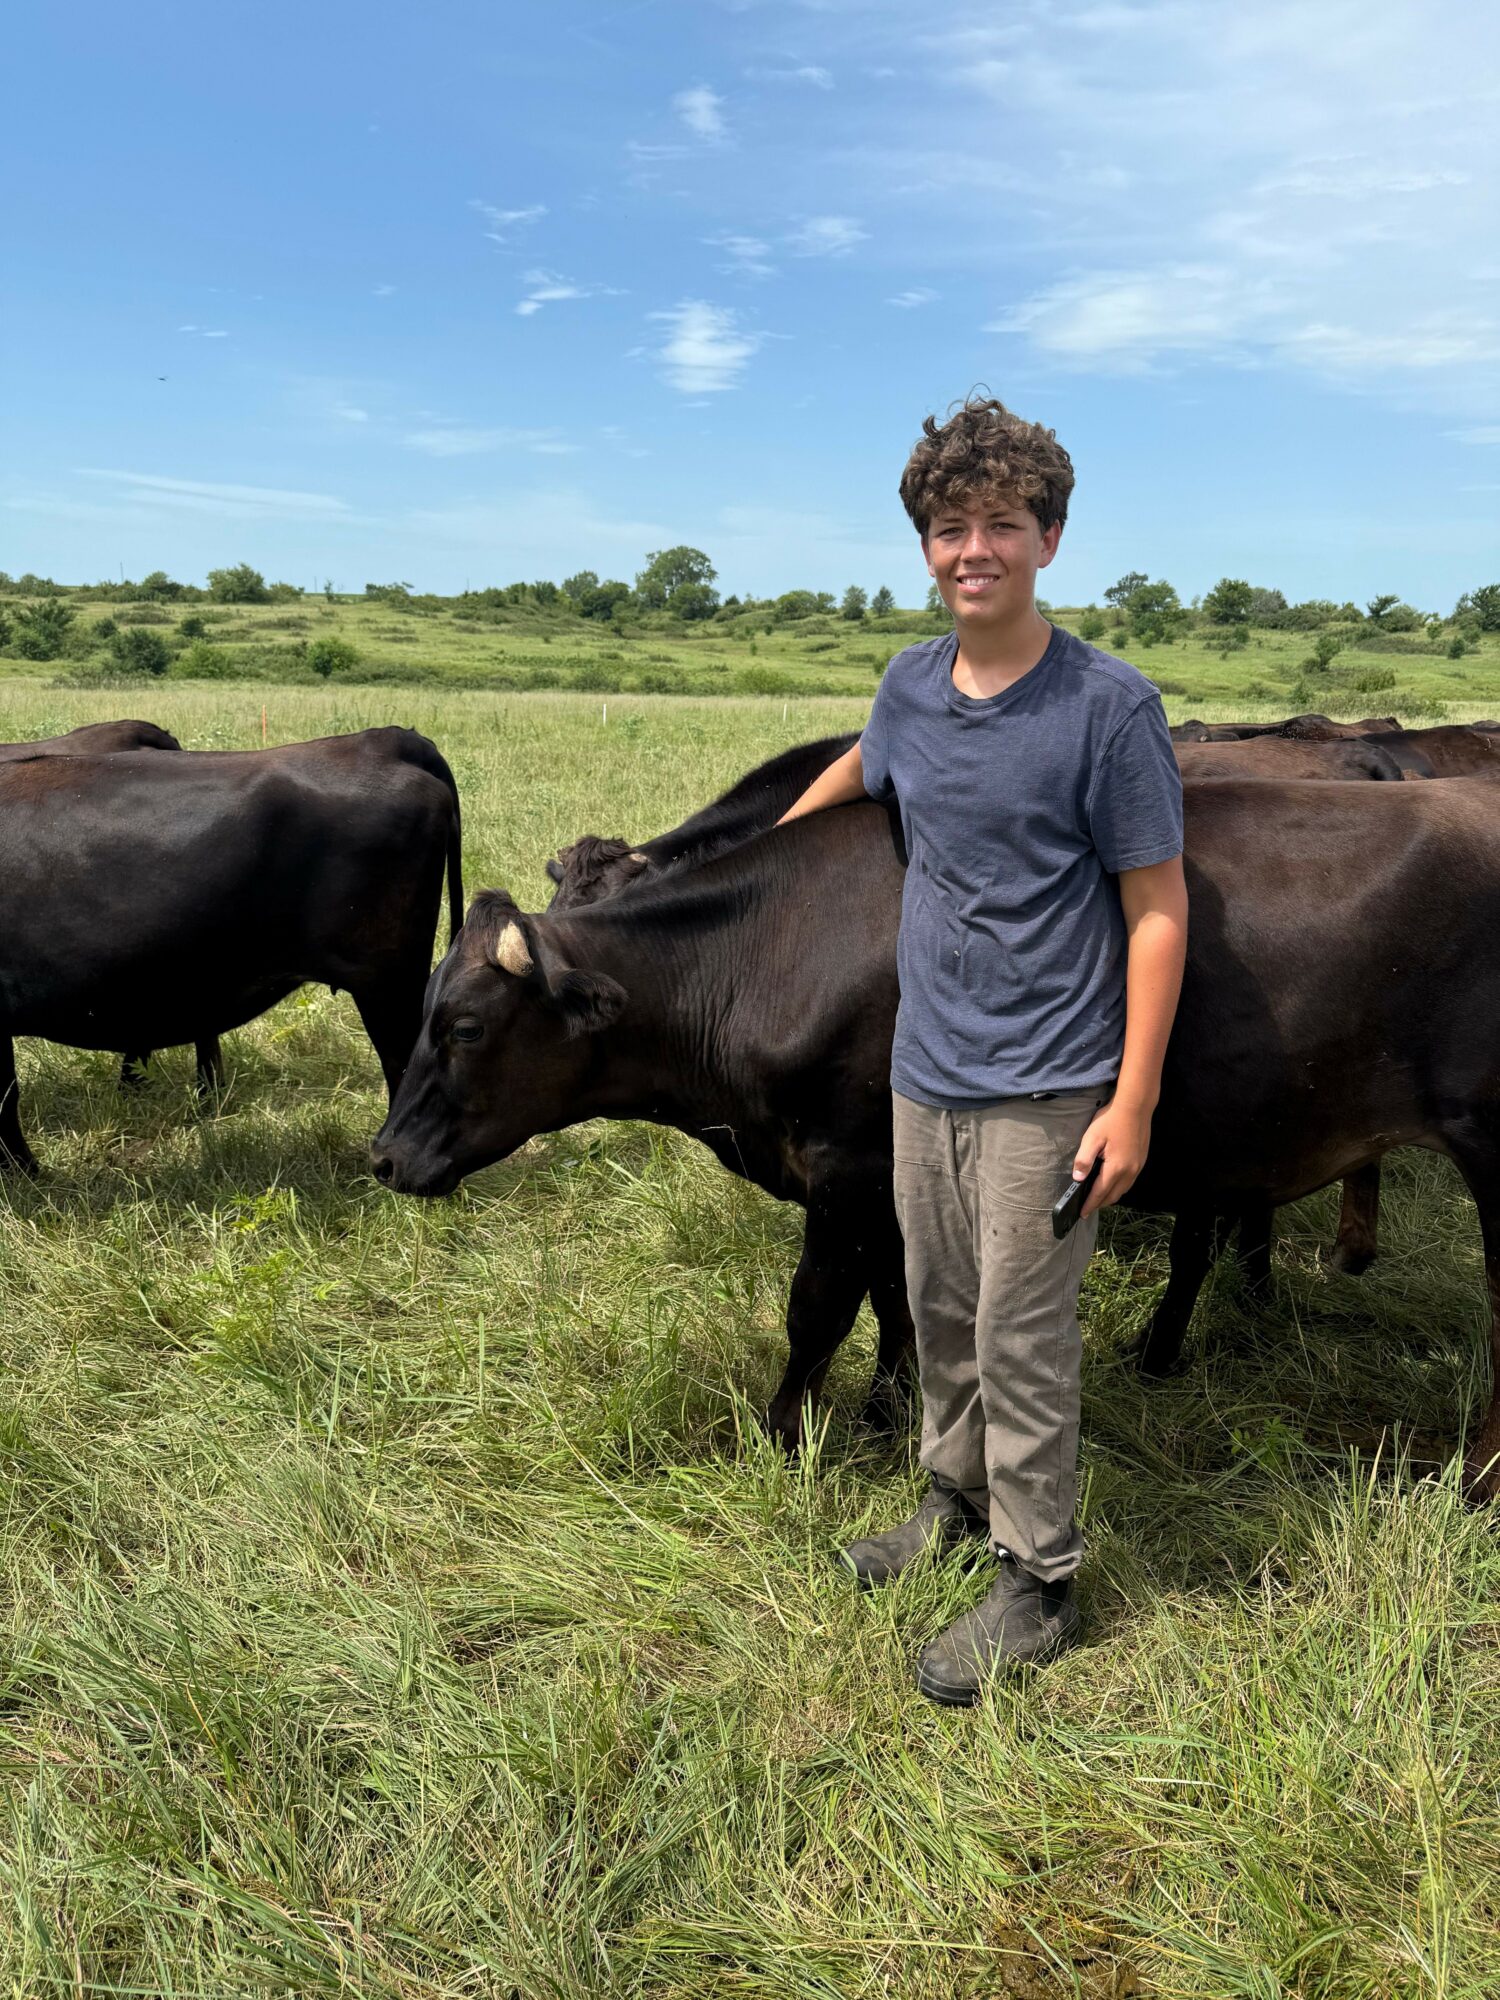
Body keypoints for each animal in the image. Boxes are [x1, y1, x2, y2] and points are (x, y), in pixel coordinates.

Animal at [372, 777, 1500, 1502]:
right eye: (422, 1006)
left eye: (463, 1026)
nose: (384, 1157)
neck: (768, 951)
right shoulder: (892, 1168)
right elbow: (899, 1296)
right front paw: (893, 1406)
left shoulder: (846, 1164)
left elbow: (817, 1309)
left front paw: (781, 1439)